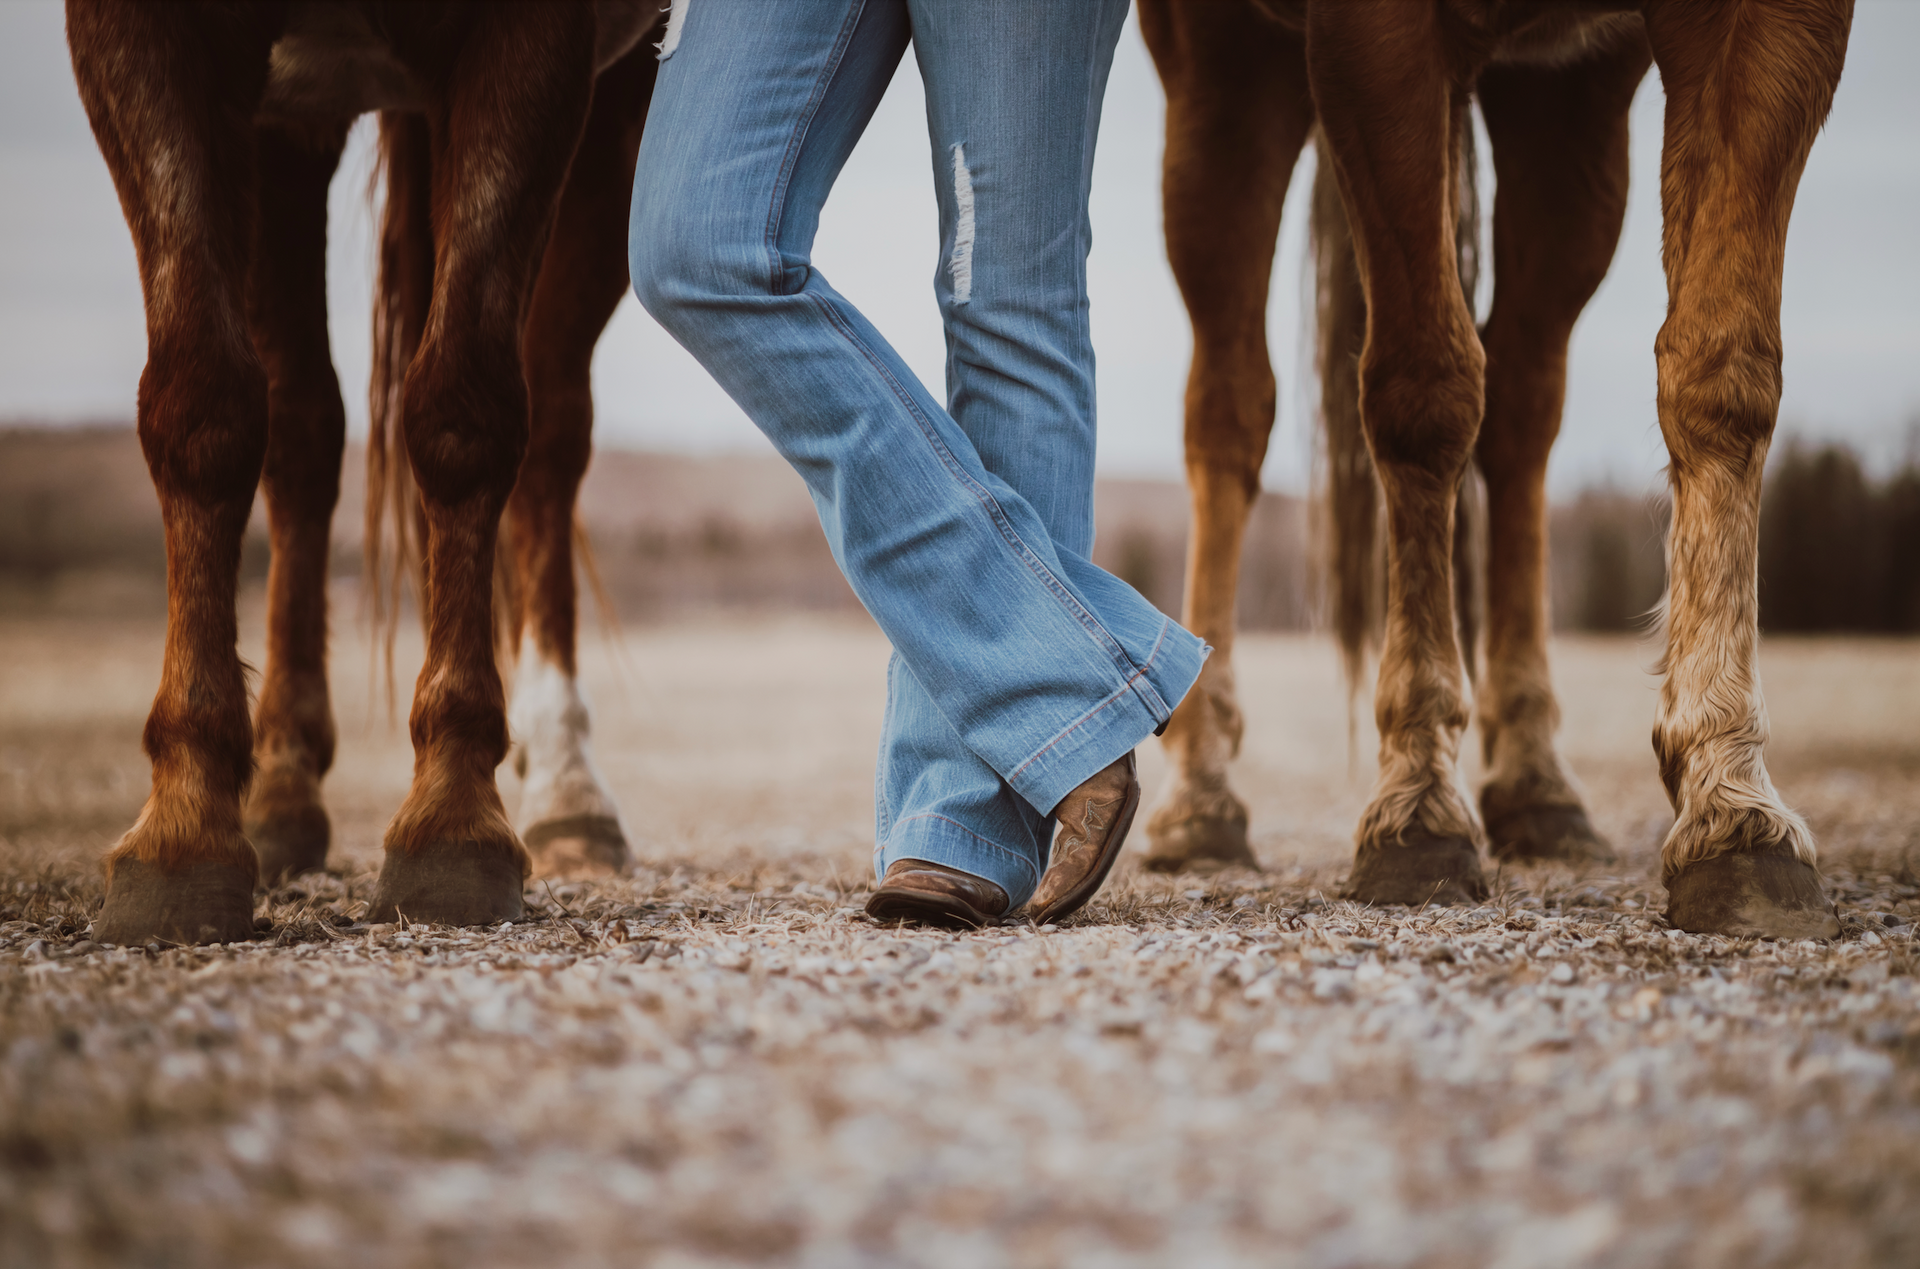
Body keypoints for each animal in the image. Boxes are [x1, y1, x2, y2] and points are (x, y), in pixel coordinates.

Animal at [65, 2, 660, 940]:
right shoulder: (143, 40)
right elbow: (202, 407)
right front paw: (182, 833)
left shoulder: (541, 42)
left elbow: (463, 408)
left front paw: (451, 823)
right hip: (289, 128)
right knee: (302, 425)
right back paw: (280, 789)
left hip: (616, 96)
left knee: (552, 426)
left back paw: (571, 796)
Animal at [1144, 0, 1850, 929]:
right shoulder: (1370, 35)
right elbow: (1425, 389)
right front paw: (1416, 805)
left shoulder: (1766, 29)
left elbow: (1723, 369)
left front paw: (1732, 807)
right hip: (1222, 67)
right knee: (1228, 407)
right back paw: (1202, 799)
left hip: (1566, 106)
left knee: (1522, 397)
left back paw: (1538, 783)